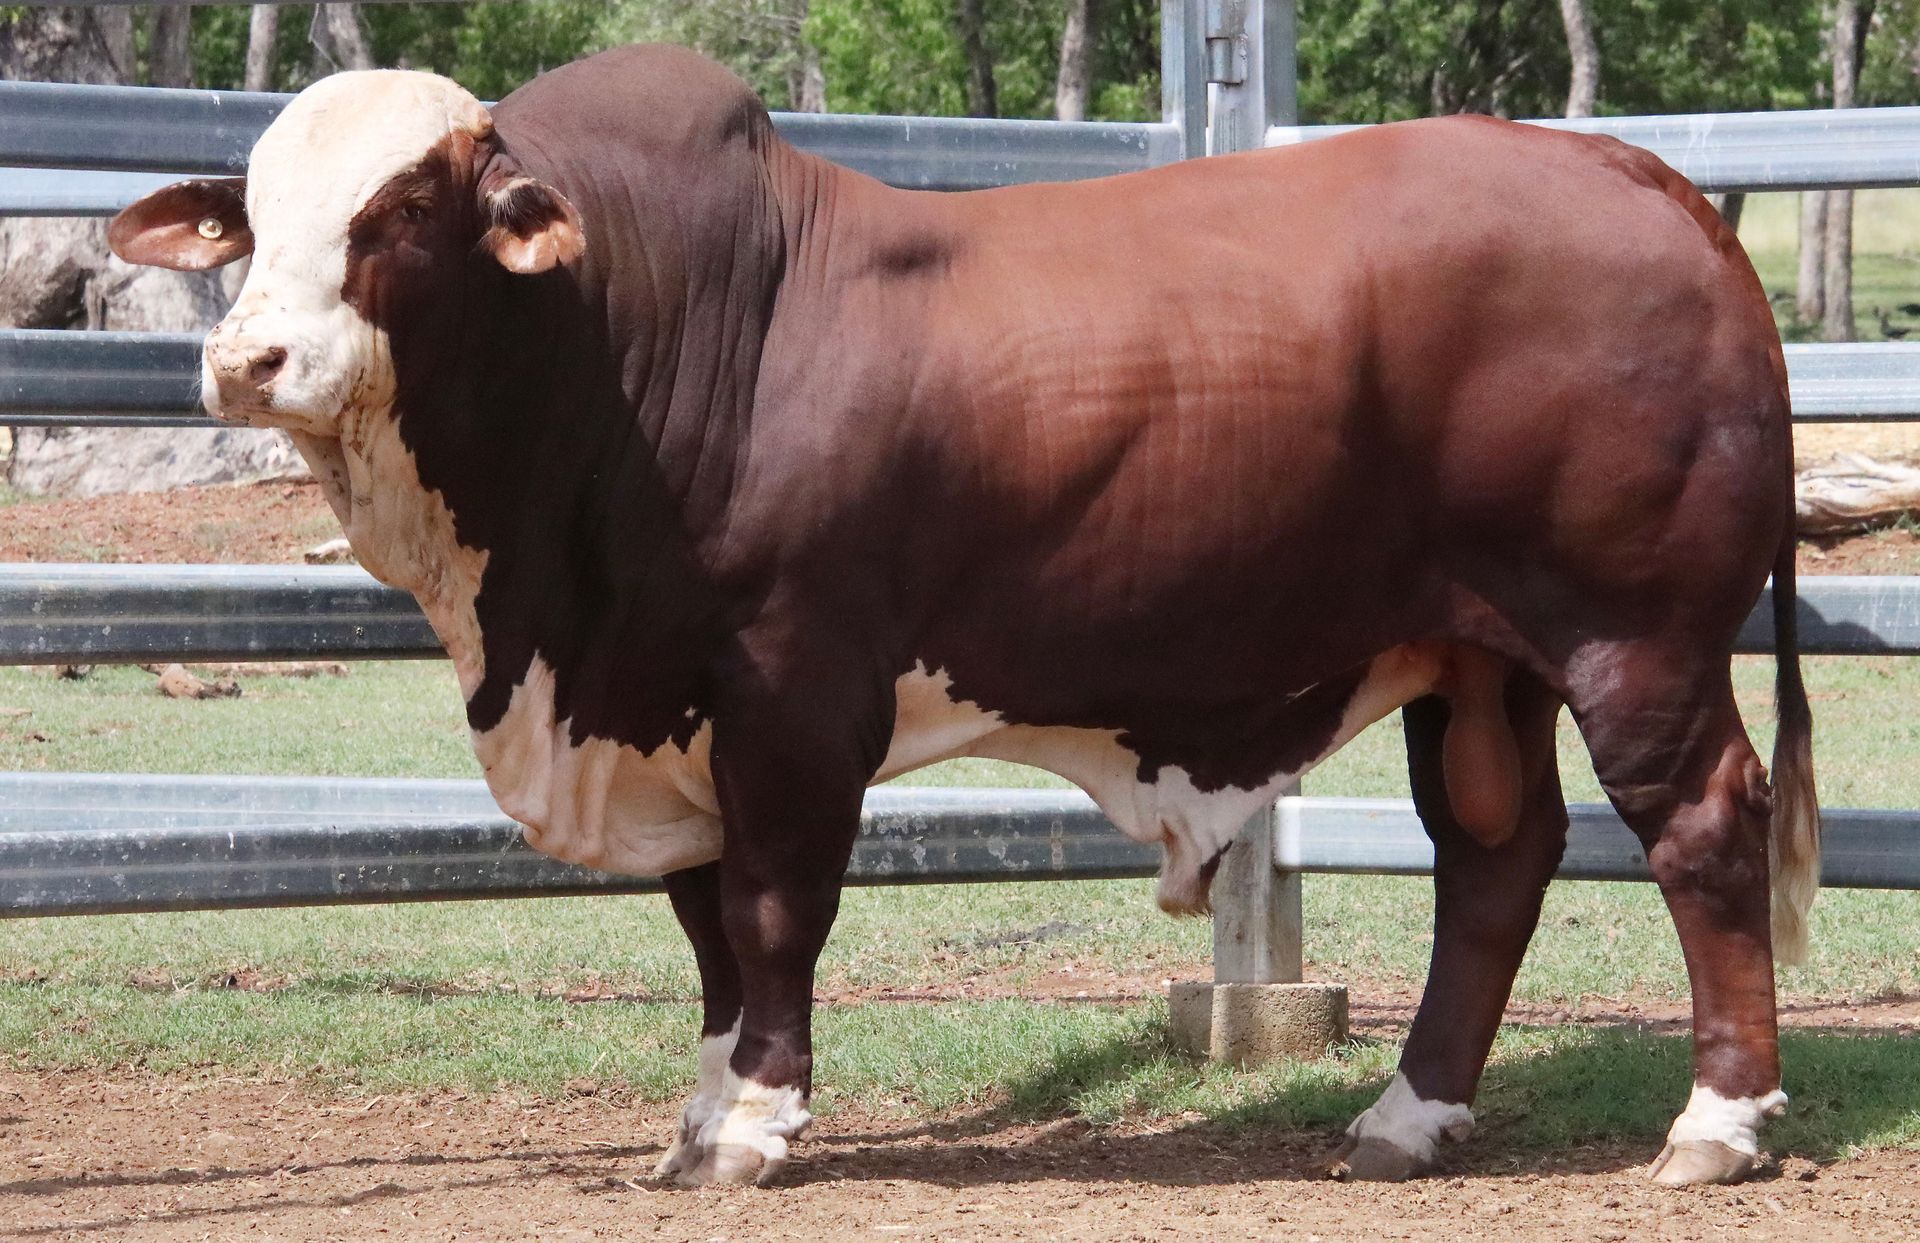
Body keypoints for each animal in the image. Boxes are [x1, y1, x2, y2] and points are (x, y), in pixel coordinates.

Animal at [108, 44, 1817, 1189]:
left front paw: (759, 1119)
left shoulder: (794, 686)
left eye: (403, 211)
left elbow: (773, 907)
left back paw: (1716, 1123)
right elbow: (705, 920)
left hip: (1634, 634)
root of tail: (1652, 182)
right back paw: (1409, 1113)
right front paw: (701, 1111)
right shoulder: (671, 698)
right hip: (1479, 654)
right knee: (1495, 852)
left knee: (1700, 825)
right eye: (252, 211)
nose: (246, 361)